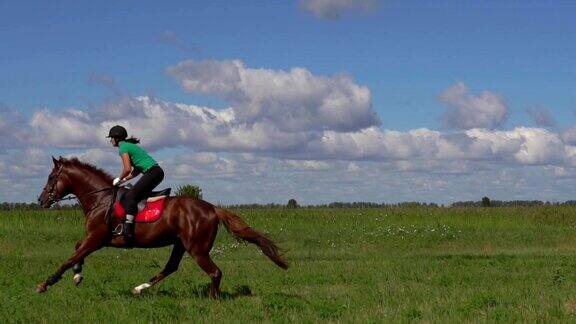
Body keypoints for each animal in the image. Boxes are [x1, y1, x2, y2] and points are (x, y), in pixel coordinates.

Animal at [36, 157, 288, 296]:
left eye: (51, 177)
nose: (41, 200)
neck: (101, 200)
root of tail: (212, 208)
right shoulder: (96, 239)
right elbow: (76, 250)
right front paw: (77, 275)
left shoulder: (97, 239)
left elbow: (69, 257)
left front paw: (45, 284)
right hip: (181, 244)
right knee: (171, 267)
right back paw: (140, 288)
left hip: (197, 249)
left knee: (215, 272)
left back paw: (212, 299)